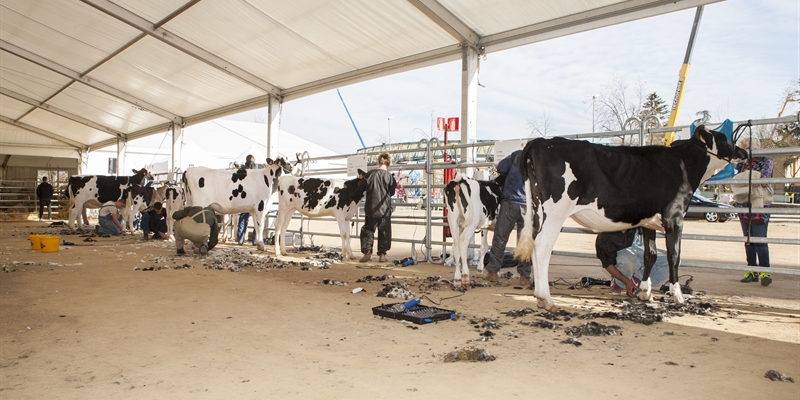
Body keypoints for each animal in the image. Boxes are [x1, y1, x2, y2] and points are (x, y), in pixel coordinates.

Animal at [516, 125, 748, 310]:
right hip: (556, 211)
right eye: (725, 138)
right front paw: (677, 295)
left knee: (535, 243)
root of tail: (540, 142)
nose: (744, 152)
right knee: (543, 246)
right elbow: (674, 256)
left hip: (538, 210)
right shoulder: (674, 218)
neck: (683, 165)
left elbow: (650, 255)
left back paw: (539, 296)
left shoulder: (648, 222)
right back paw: (546, 298)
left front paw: (645, 292)